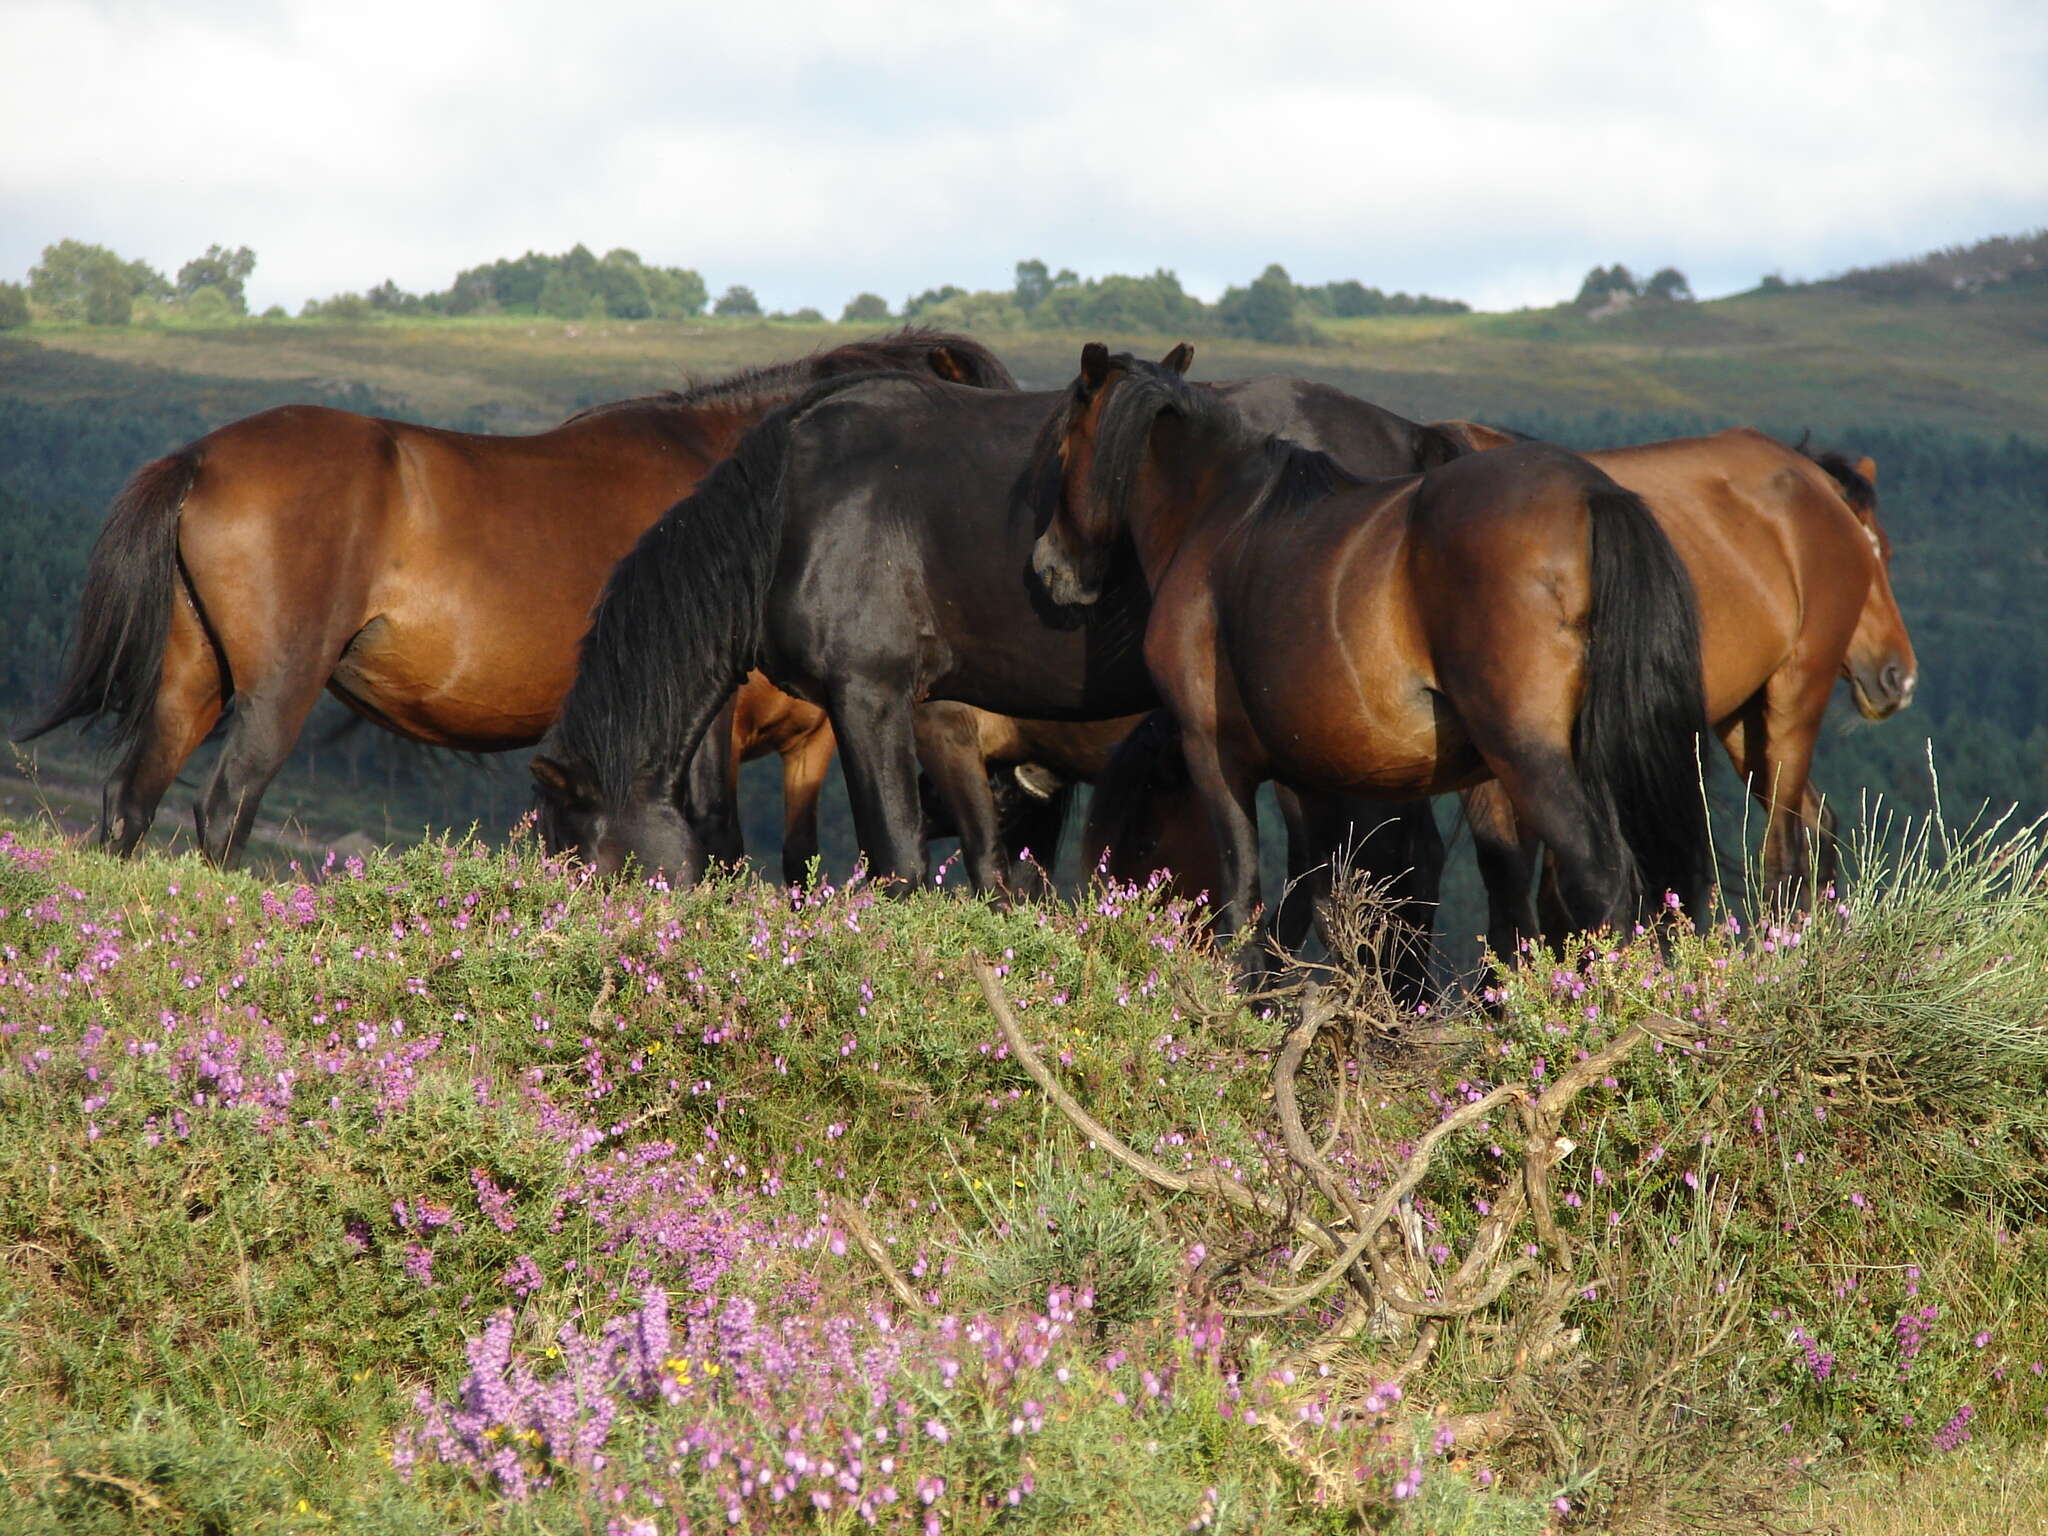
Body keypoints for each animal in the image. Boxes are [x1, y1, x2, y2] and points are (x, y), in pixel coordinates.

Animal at [24, 331, 1015, 872]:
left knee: (132, 802)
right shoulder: (710, 735)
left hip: (193, 681)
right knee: (225, 807)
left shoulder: (806, 742)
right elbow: (721, 850)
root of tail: (201, 458)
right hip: (278, 688)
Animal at [1024, 348, 1712, 974]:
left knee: (1599, 879)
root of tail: (1592, 493)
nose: (1049, 564)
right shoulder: (1308, 775)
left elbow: (1246, 900)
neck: (1218, 513)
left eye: (1064, 446)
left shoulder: (1214, 753)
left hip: (1527, 755)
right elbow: (1320, 900)